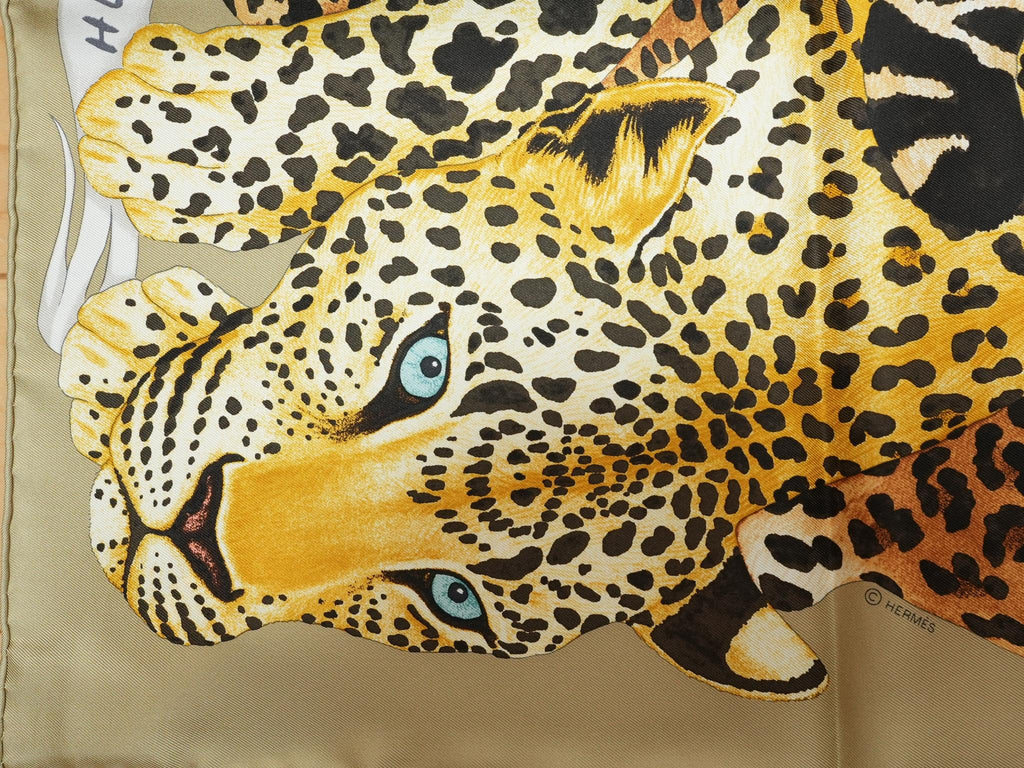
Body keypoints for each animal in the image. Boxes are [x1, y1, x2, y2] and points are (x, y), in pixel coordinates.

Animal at [59, 0, 1024, 701]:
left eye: (451, 598)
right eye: (425, 367)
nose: (187, 534)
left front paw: (118, 347)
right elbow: (490, 42)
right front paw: (172, 125)